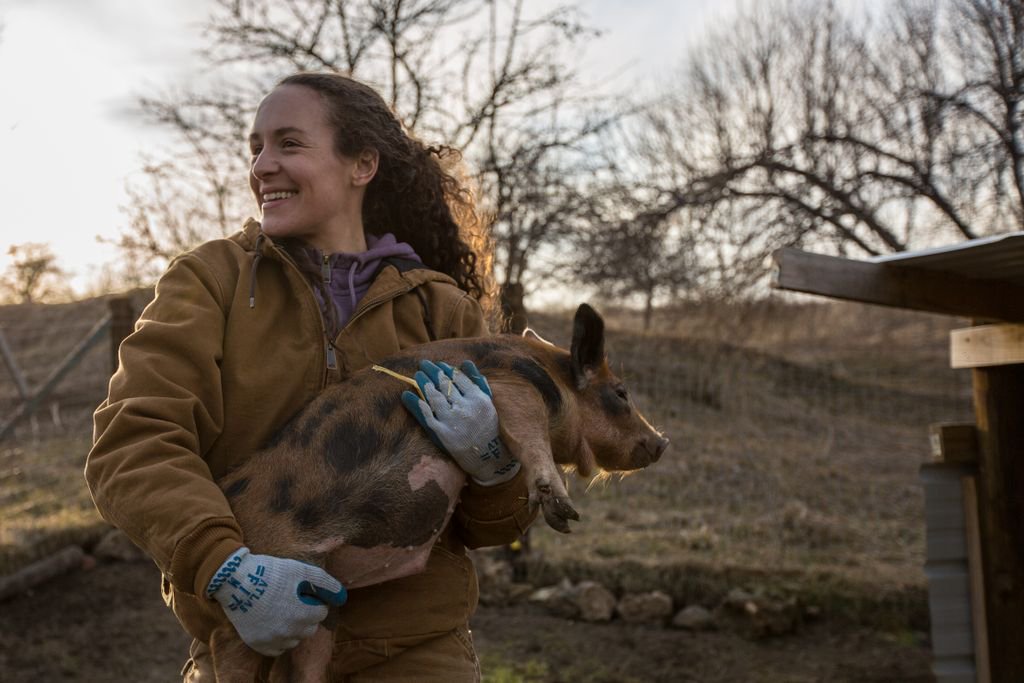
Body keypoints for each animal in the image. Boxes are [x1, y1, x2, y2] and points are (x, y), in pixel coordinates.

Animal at [208, 303, 669, 682]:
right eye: (622, 393)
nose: (662, 442)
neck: (549, 378)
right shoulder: (505, 388)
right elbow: (528, 432)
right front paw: (563, 512)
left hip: (319, 609)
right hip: (243, 620)